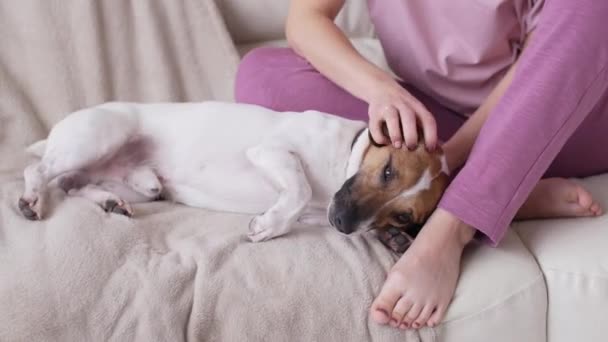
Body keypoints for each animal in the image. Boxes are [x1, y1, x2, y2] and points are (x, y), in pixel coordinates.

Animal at [19, 101, 448, 251]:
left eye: (405, 217)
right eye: (388, 170)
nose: (342, 223)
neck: (345, 154)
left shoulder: (319, 213)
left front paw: (391, 238)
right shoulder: (271, 152)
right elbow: (298, 188)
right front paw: (268, 225)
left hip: (134, 186)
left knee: (73, 185)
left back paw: (110, 201)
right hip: (102, 135)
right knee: (38, 170)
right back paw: (32, 198)